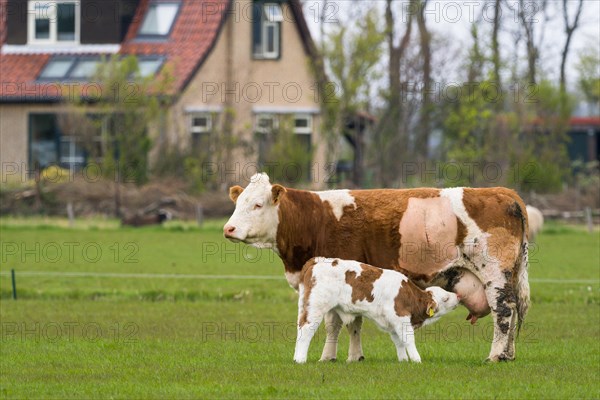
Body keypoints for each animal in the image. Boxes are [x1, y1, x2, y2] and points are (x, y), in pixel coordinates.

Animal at [292, 258, 458, 364]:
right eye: (445, 298)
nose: (458, 296)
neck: (408, 295)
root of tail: (318, 260)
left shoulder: (392, 323)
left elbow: (398, 341)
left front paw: (403, 360)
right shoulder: (401, 318)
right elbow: (408, 339)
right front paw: (417, 360)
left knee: (300, 328)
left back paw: (296, 358)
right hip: (316, 306)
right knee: (306, 330)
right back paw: (301, 359)